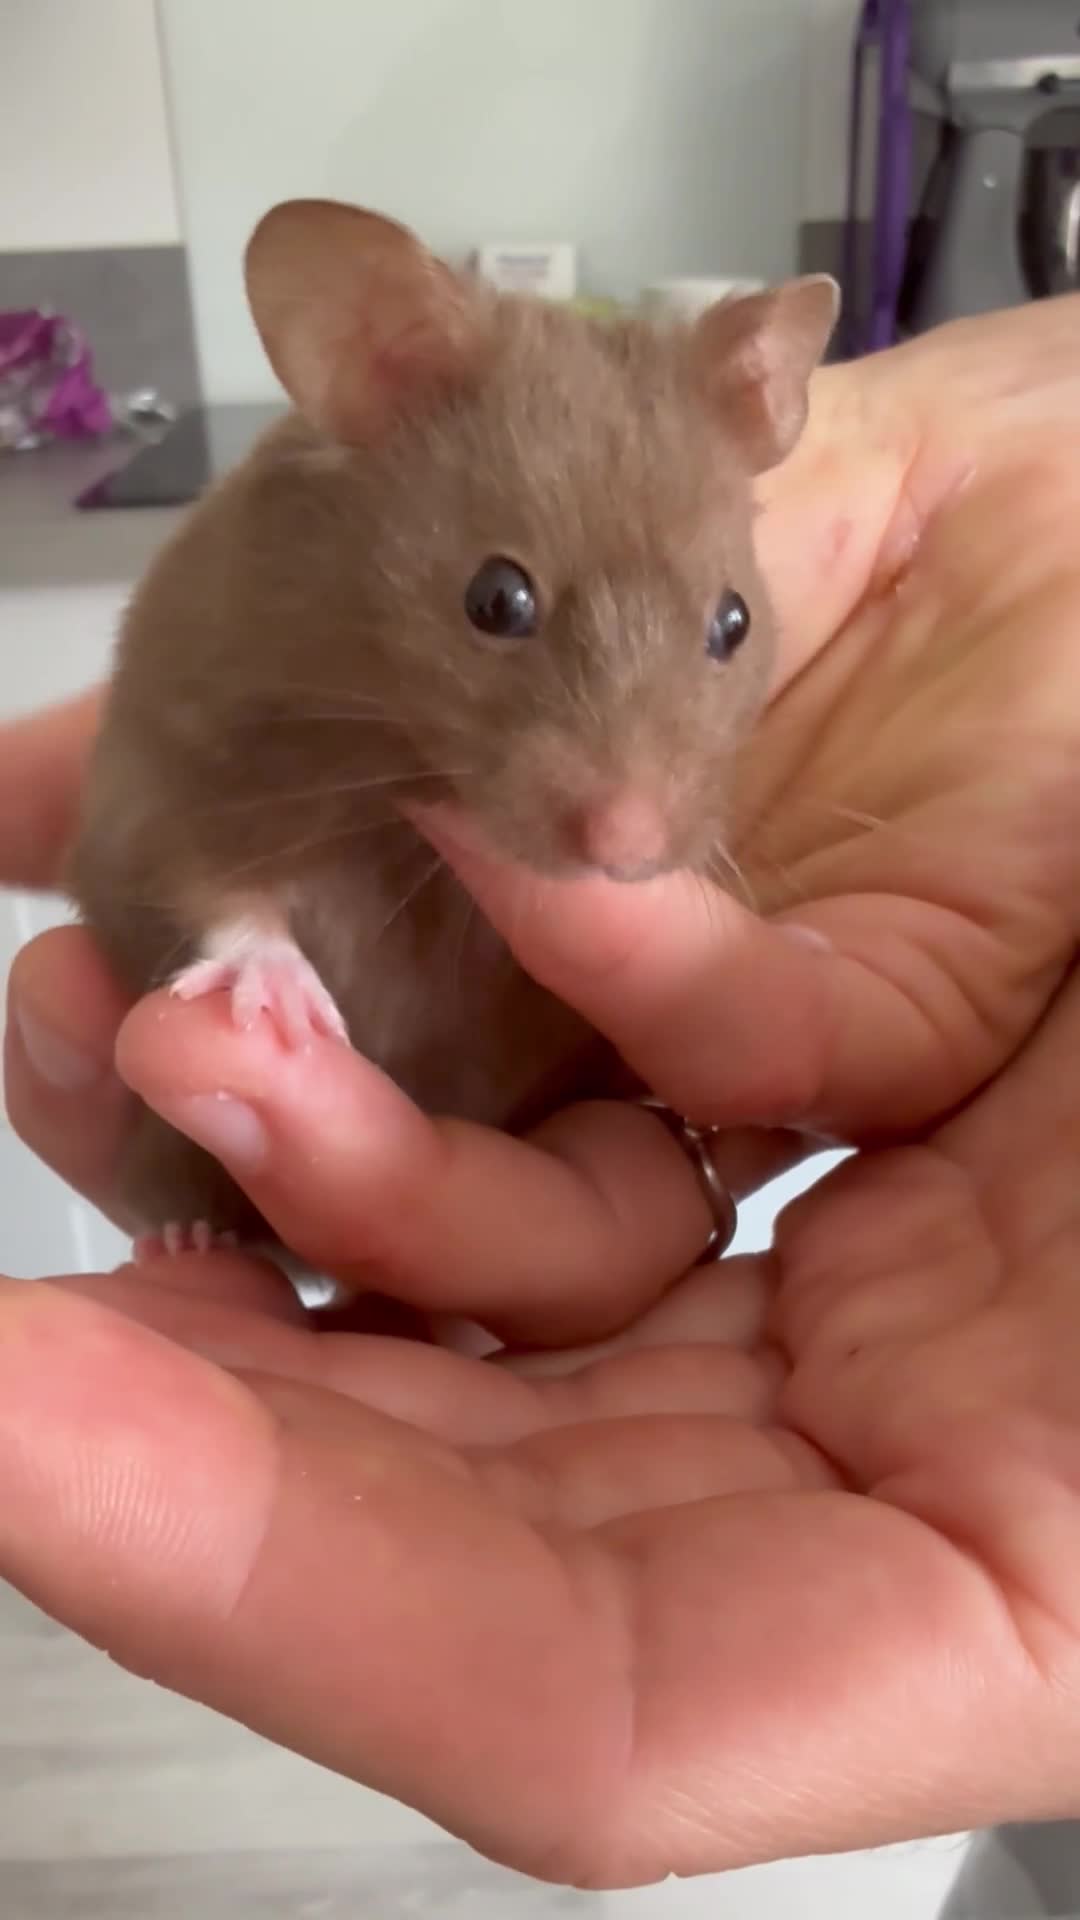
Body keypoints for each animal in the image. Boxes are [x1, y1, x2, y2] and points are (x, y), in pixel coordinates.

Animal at [66, 197, 838, 1246]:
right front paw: (288, 1011)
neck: (391, 746)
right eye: (496, 598)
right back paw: (191, 1238)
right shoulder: (174, 764)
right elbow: (208, 887)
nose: (627, 851)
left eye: (735, 620)